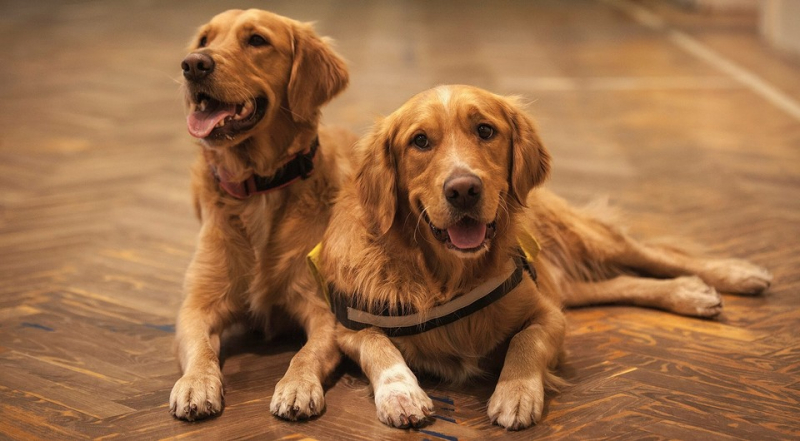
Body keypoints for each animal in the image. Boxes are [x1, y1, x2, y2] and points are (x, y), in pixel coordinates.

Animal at [170, 10, 354, 422]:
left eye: (257, 40)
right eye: (204, 39)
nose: (193, 64)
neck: (258, 188)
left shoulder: (323, 310)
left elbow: (306, 353)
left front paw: (297, 386)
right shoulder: (196, 306)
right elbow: (200, 349)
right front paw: (195, 384)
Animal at [316, 84, 772, 428]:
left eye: (485, 130)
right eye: (420, 141)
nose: (463, 189)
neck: (447, 277)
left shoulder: (548, 314)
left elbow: (525, 339)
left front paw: (515, 392)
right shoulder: (348, 326)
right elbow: (378, 346)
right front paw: (401, 393)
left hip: (582, 236)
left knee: (653, 254)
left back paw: (730, 275)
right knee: (622, 281)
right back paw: (691, 293)